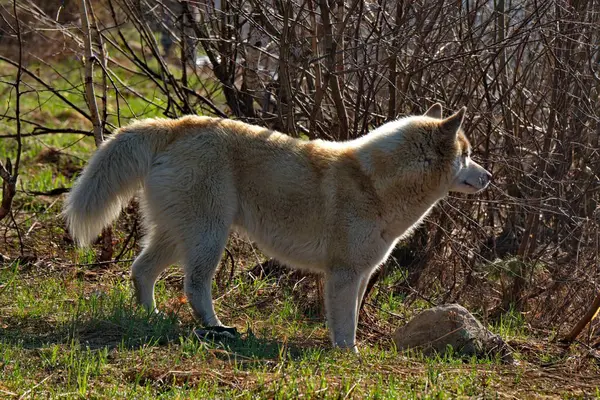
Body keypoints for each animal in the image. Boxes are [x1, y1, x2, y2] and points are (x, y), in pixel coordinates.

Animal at [63, 104, 490, 354]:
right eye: (467, 154)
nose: (489, 176)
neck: (377, 184)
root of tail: (177, 125)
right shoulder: (344, 274)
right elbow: (345, 325)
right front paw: (347, 356)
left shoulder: (358, 275)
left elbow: (348, 318)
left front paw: (348, 352)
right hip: (208, 237)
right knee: (194, 286)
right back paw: (217, 328)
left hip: (176, 235)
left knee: (141, 271)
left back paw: (152, 318)